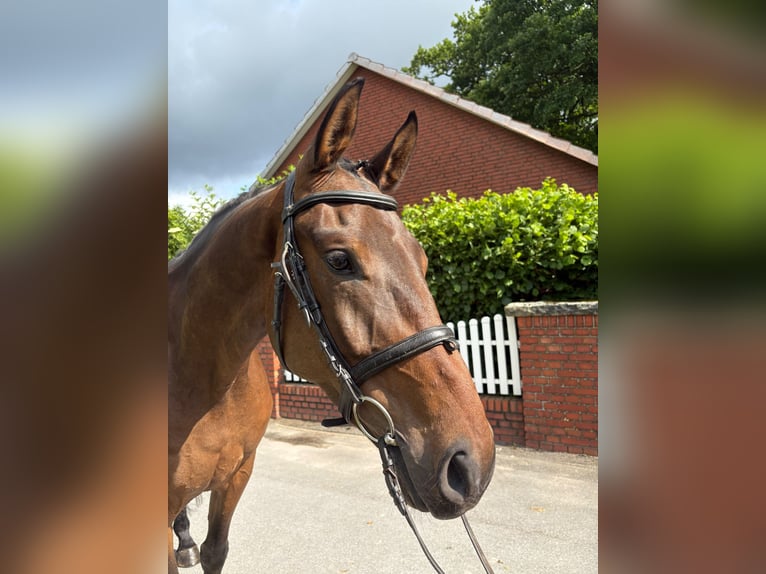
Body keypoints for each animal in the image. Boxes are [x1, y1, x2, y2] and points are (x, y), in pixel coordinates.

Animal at [168, 78, 496, 574]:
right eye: (340, 260)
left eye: (421, 258)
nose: (469, 463)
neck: (202, 382)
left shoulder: (237, 476)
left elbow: (215, 550)